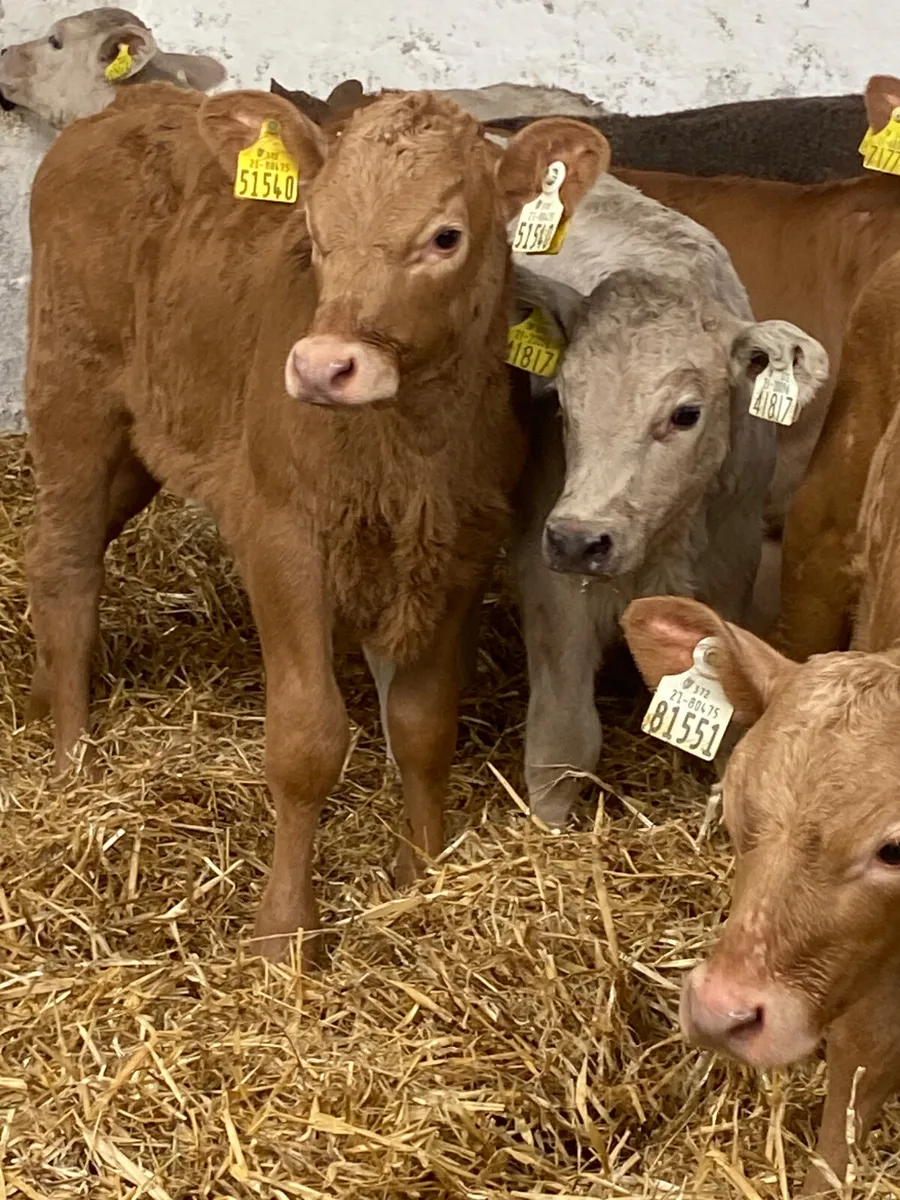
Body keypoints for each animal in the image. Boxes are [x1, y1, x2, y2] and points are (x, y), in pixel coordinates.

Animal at [23, 81, 608, 962]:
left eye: (445, 235)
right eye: (314, 229)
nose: (324, 366)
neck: (404, 453)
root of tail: (133, 102)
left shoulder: (462, 547)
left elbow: (425, 723)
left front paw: (420, 874)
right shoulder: (281, 534)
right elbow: (306, 739)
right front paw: (283, 931)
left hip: (143, 438)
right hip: (72, 394)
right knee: (64, 567)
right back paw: (72, 760)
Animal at [508, 175, 828, 827]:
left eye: (685, 414)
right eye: (563, 404)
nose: (579, 540)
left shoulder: (728, 575)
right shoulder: (550, 581)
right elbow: (564, 740)